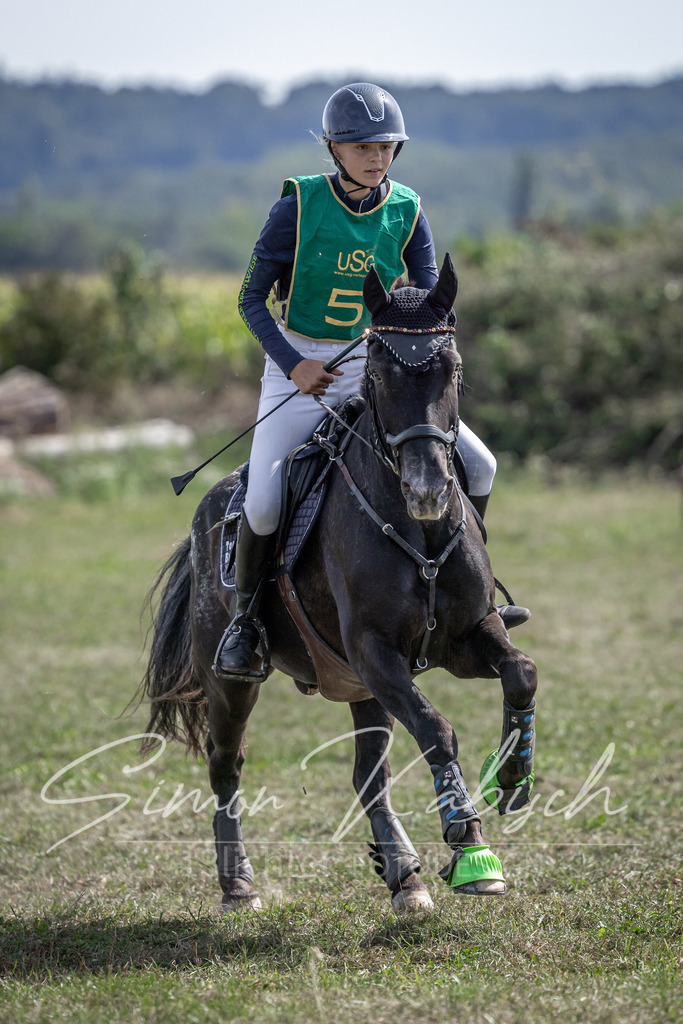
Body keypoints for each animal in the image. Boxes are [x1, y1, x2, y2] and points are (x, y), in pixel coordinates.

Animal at [140, 255, 538, 914]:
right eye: (378, 372)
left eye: (452, 368)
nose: (429, 490)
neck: (418, 532)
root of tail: (208, 507)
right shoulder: (377, 652)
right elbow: (437, 729)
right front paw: (468, 841)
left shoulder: (463, 639)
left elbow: (521, 673)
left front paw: (513, 775)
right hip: (235, 683)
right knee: (226, 765)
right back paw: (238, 885)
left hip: (358, 685)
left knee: (366, 775)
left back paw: (404, 875)